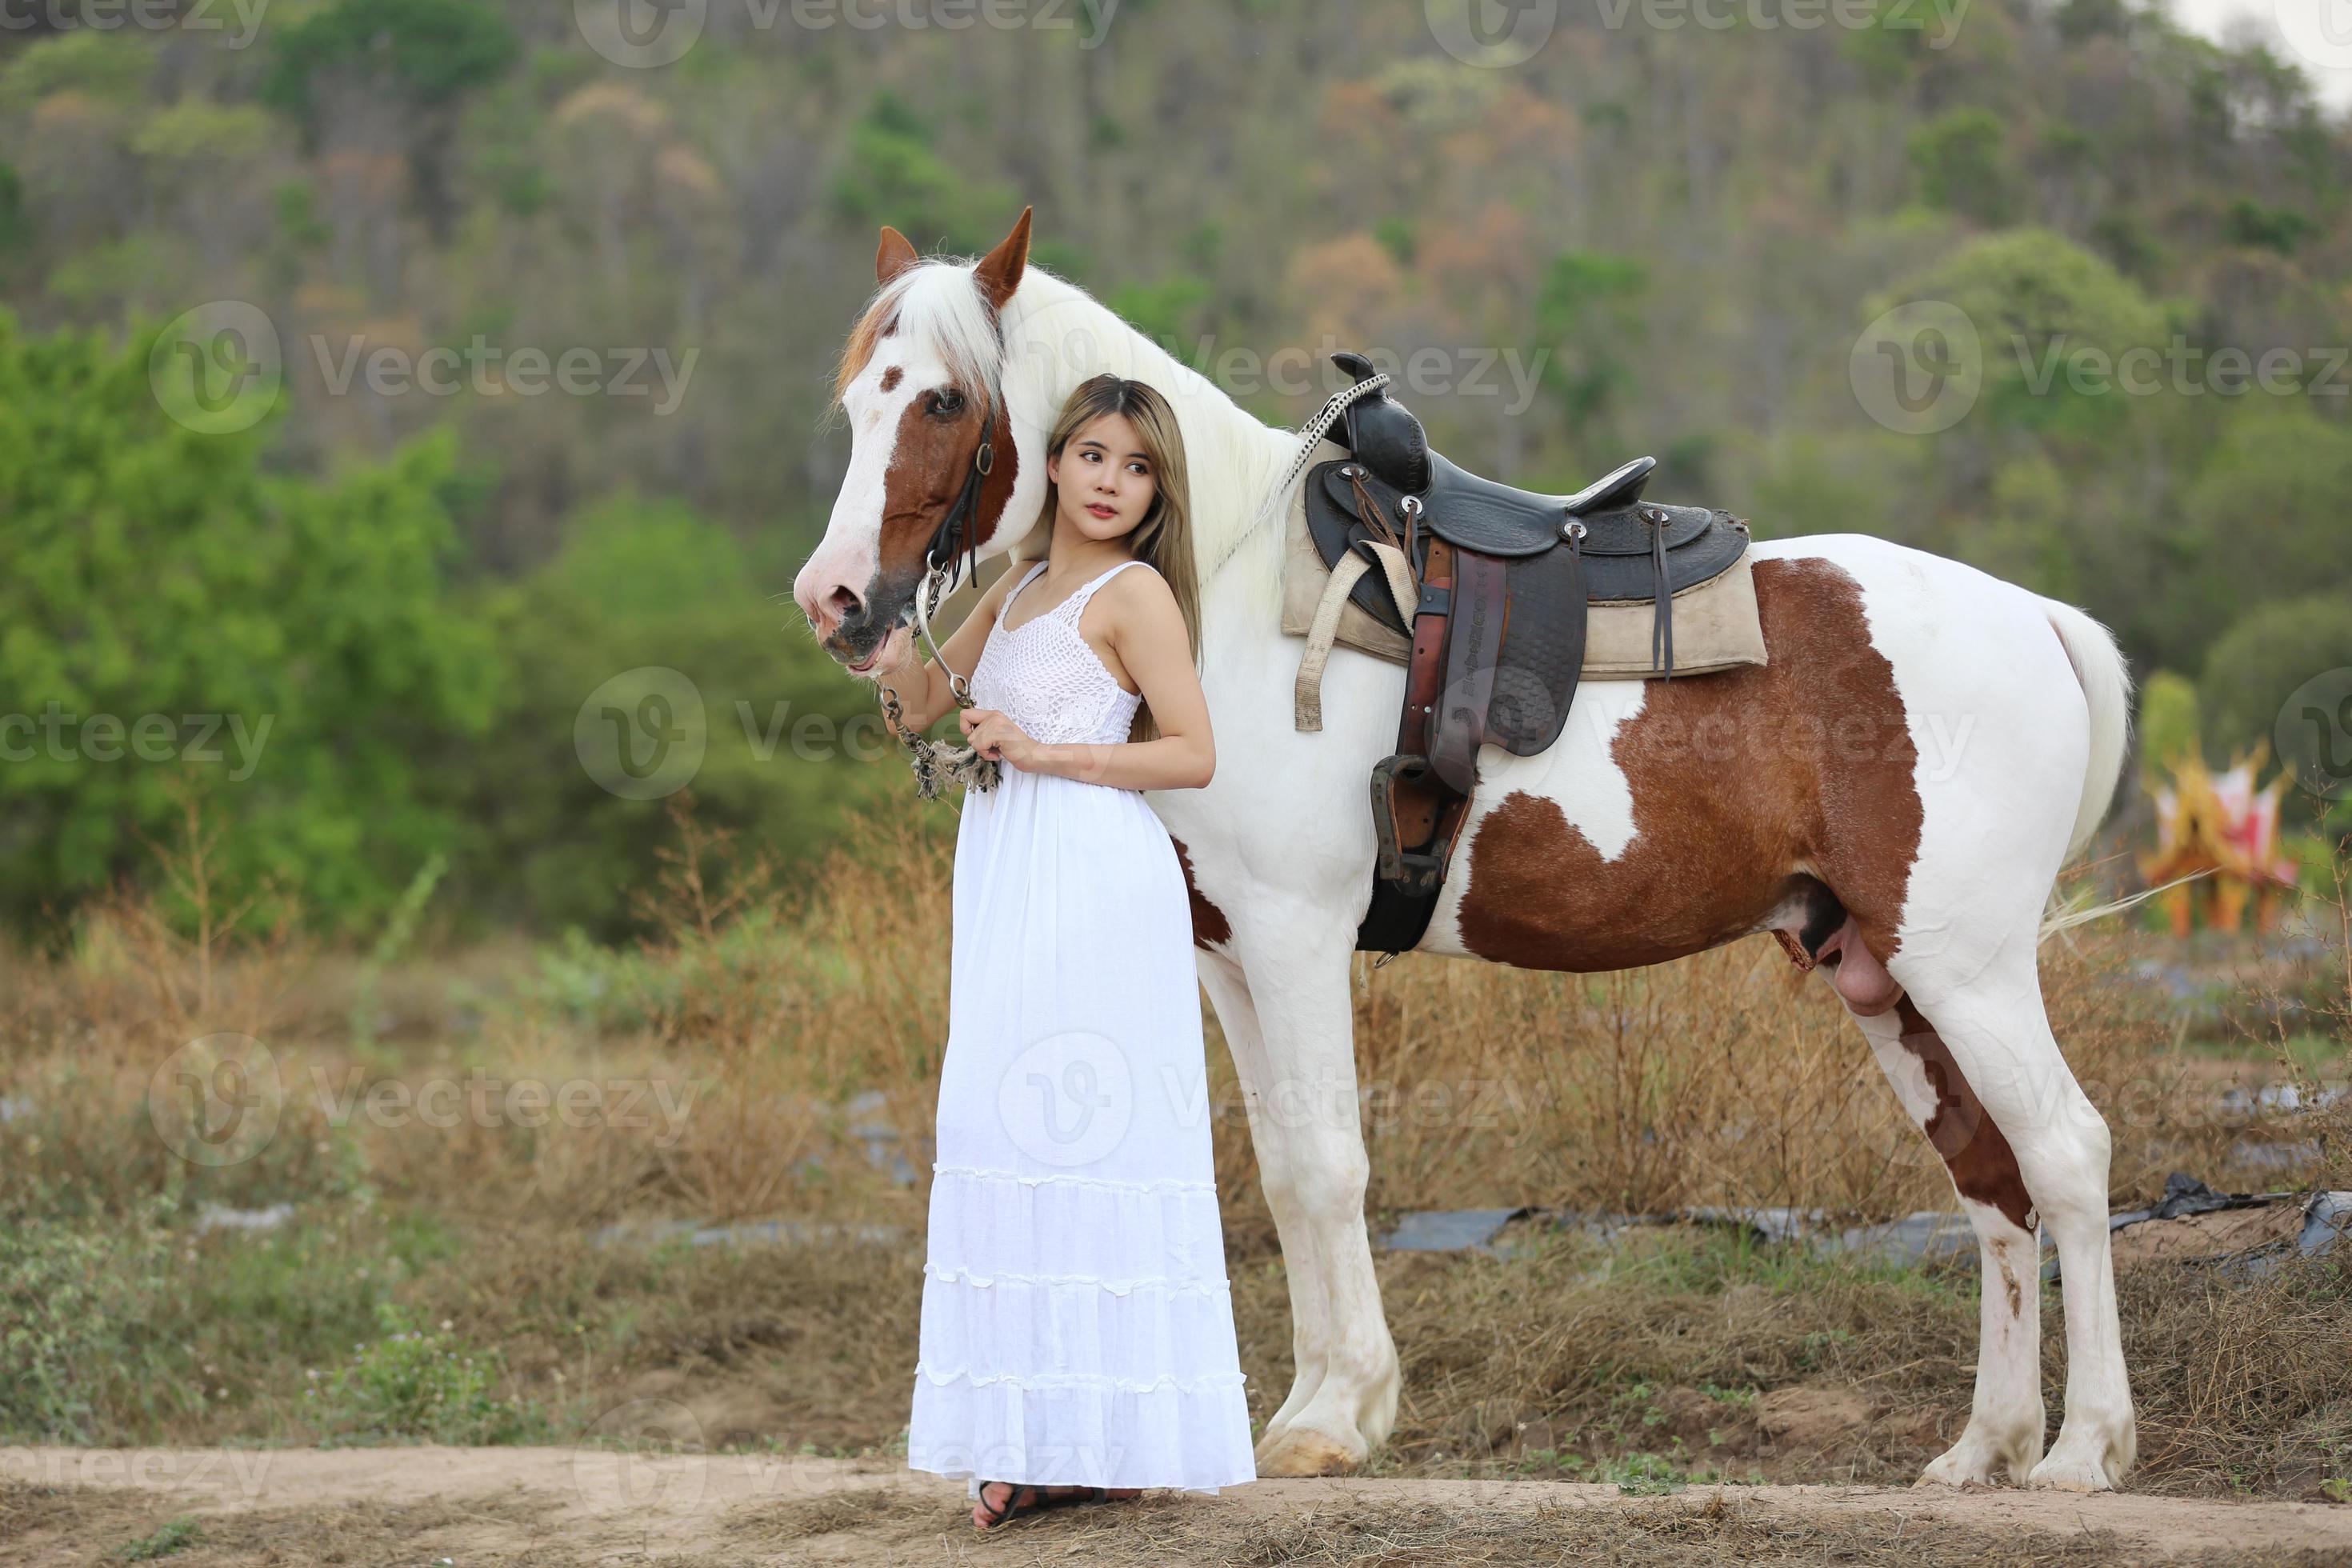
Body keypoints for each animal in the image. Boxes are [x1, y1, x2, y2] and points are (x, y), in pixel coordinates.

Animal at [790, 211, 2135, 1494]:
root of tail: (2035, 618)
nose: (836, 601)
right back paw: (1987, 1446)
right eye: (857, 400)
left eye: (943, 401)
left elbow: (1330, 1165)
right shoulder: (1228, 956)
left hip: (1964, 966)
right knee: (1991, 1179)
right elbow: (1281, 1174)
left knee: (2067, 1157)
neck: (1225, 587)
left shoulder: (1294, 934)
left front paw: (1338, 1418)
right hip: (1882, 973)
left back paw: (2085, 1450)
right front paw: (1305, 1407)